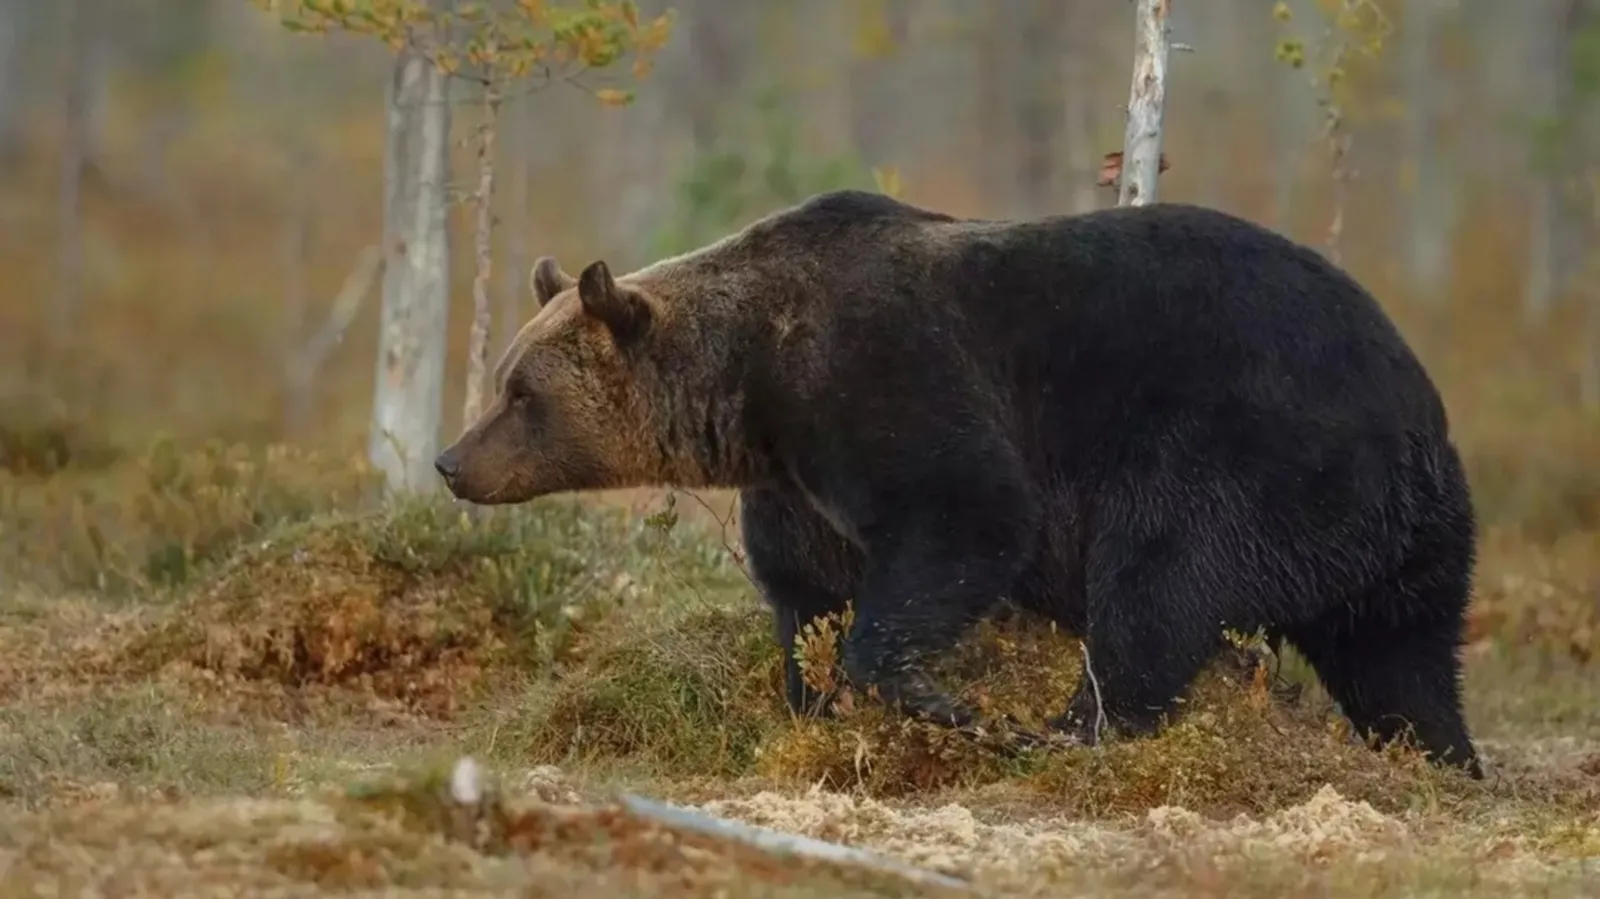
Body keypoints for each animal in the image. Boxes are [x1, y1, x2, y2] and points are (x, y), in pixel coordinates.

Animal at [433, 189, 1484, 779]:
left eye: (520, 392)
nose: (450, 461)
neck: (752, 384)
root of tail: (1418, 413)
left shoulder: (886, 376)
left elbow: (966, 516)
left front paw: (949, 705)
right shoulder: (797, 482)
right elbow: (806, 596)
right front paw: (812, 704)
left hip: (1243, 449)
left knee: (1159, 585)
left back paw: (1072, 730)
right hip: (1395, 538)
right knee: (1402, 656)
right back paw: (1443, 760)